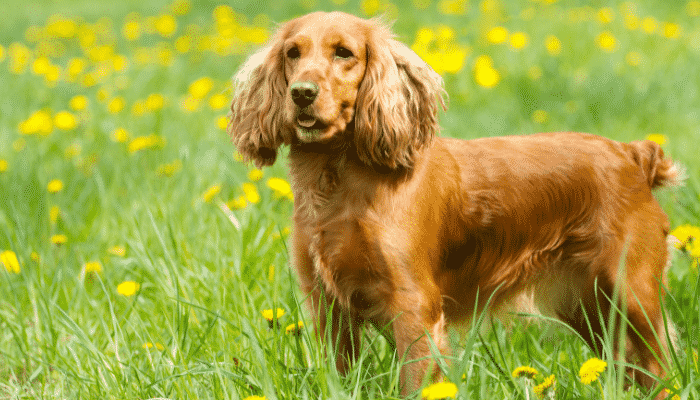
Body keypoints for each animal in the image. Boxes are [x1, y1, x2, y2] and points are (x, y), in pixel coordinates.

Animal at [228, 10, 680, 396]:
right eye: (293, 53)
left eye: (344, 53)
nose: (301, 93)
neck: (339, 183)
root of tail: (633, 155)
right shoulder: (327, 305)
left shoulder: (414, 307)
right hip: (588, 306)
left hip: (631, 291)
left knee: (659, 365)